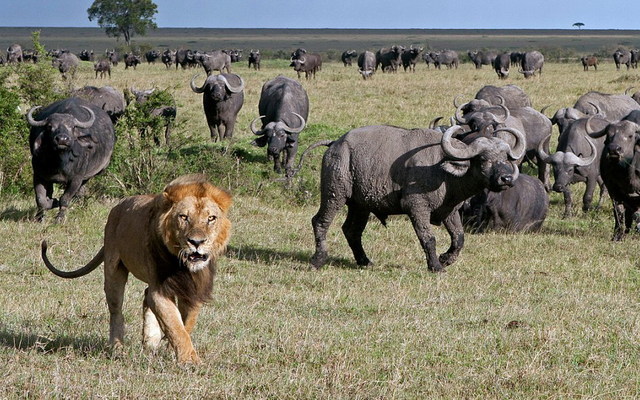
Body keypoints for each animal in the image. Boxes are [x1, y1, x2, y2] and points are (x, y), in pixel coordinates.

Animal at [40, 173, 231, 364]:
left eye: (211, 218)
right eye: (184, 217)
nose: (197, 242)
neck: (182, 265)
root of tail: (117, 206)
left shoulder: (194, 289)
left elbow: (186, 324)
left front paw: (172, 351)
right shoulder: (160, 289)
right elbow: (175, 326)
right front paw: (190, 361)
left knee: (146, 296)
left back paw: (150, 340)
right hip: (113, 269)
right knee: (116, 311)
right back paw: (117, 349)